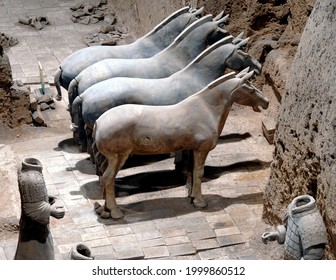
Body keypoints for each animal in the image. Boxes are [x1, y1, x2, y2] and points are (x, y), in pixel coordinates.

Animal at [92, 70, 270, 219]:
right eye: (251, 90)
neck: (207, 108)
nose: (267, 102)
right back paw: (115, 211)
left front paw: (192, 197)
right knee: (108, 178)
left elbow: (191, 172)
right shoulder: (201, 150)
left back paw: (105, 210)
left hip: (111, 158)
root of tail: (98, 122)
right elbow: (199, 173)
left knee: (105, 175)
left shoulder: (192, 149)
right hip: (119, 157)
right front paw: (200, 201)